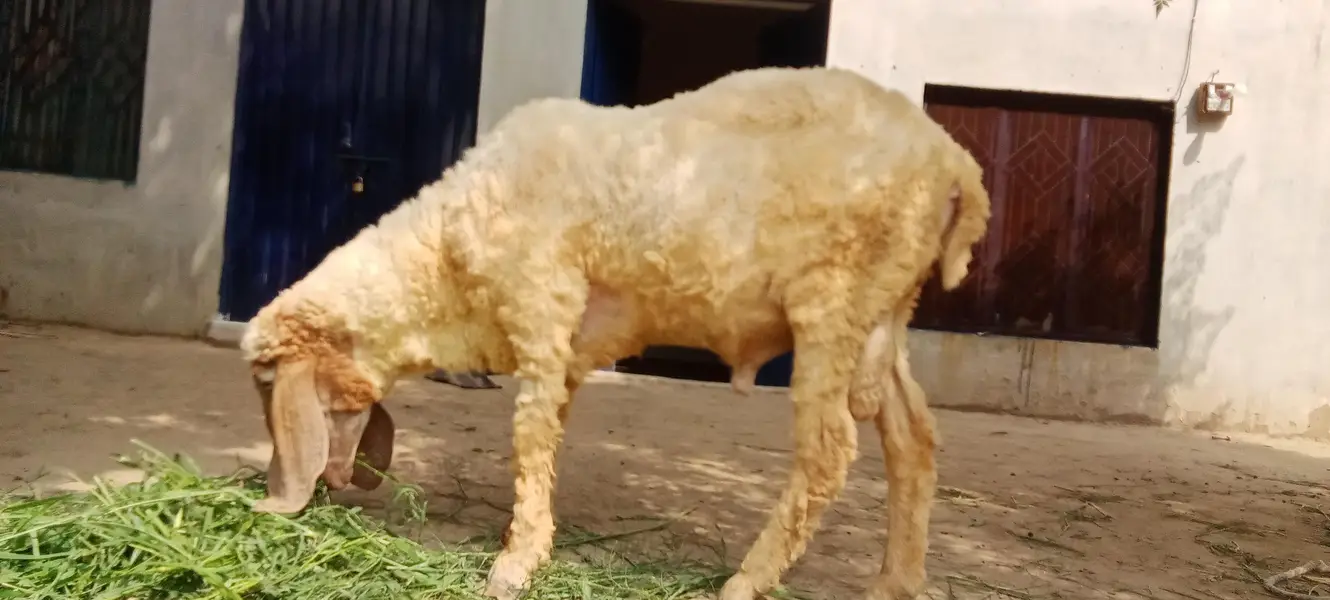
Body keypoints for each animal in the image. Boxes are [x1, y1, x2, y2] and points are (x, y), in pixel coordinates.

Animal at [239, 65, 990, 600]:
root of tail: (956, 166)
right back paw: (895, 582)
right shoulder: (569, 349)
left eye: (270, 384)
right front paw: (531, 537)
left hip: (832, 302)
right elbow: (547, 441)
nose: (323, 481)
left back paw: (745, 582)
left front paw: (513, 566)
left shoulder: (542, 306)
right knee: (913, 439)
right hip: (883, 314)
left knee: (830, 451)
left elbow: (527, 438)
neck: (444, 256)